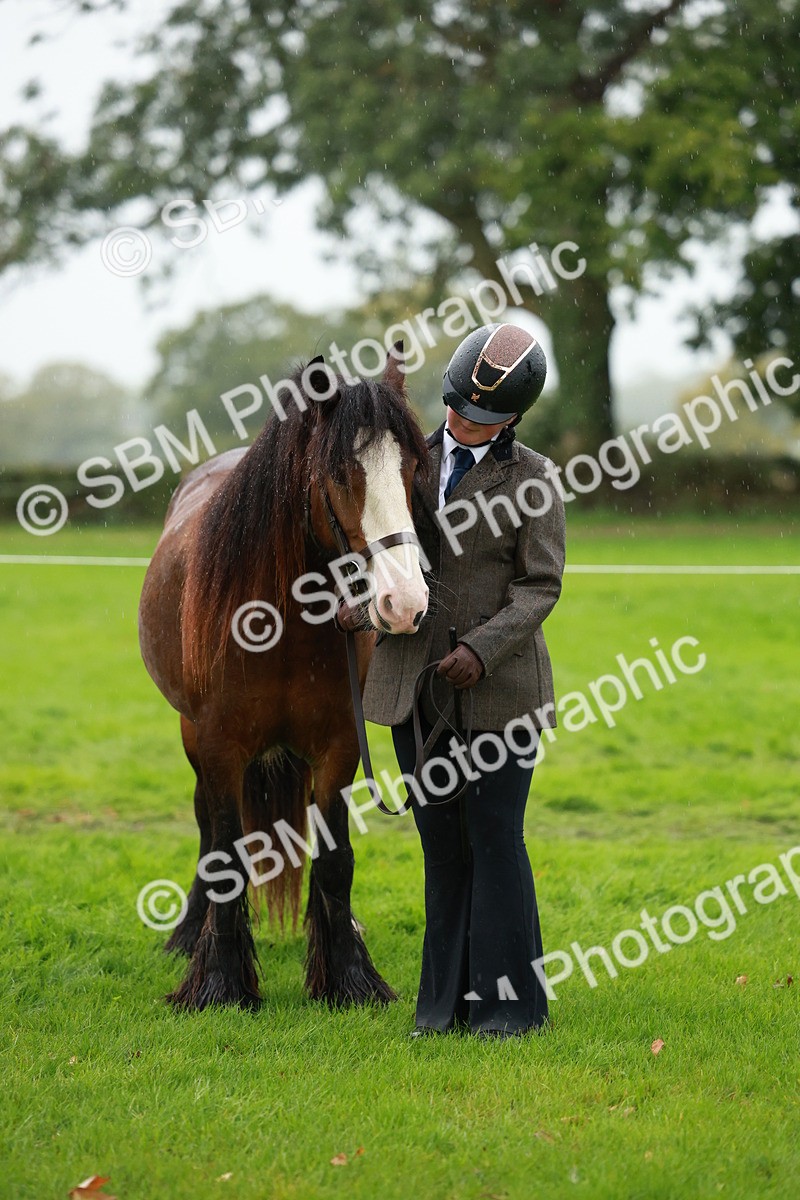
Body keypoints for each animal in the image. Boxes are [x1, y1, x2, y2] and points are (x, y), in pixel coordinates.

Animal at [138, 345, 430, 1010]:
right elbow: (224, 853)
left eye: (411, 470)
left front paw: (348, 977)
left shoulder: (339, 747)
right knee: (206, 827)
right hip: (192, 738)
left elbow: (336, 859)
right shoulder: (219, 746)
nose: (405, 602)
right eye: (340, 475)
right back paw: (190, 934)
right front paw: (219, 983)